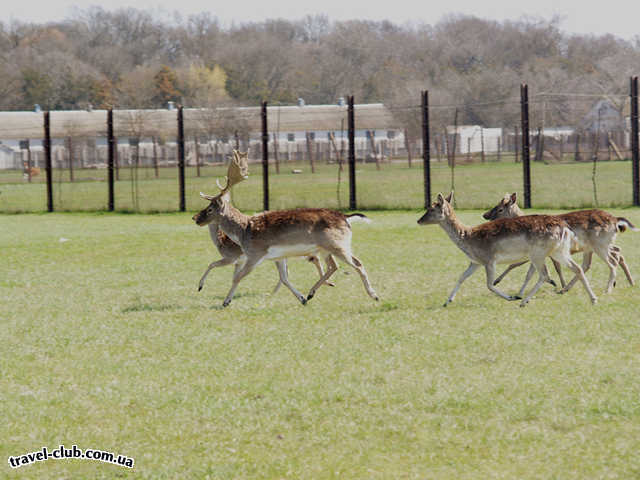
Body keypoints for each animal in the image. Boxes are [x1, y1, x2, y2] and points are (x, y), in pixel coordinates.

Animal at [192, 150, 378, 308]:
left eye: (210, 209)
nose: (195, 219)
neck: (243, 232)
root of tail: (346, 217)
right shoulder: (278, 257)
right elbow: (284, 277)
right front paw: (301, 298)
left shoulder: (255, 254)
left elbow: (237, 277)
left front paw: (225, 301)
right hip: (327, 248)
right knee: (334, 266)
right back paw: (310, 293)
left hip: (337, 244)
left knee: (357, 264)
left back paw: (374, 295)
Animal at [418, 192, 596, 308]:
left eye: (431, 209)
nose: (419, 220)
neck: (468, 238)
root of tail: (565, 228)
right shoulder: (475, 262)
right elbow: (461, 277)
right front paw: (447, 301)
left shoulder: (489, 259)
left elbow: (489, 284)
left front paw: (510, 297)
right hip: (558, 251)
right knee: (577, 268)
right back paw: (593, 299)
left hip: (538, 253)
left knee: (545, 274)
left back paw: (523, 301)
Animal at [484, 193, 636, 294]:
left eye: (500, 209)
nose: (485, 215)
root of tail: (615, 220)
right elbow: (531, 270)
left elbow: (518, 265)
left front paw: (497, 281)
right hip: (596, 245)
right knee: (611, 254)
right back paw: (628, 282)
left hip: (600, 244)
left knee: (611, 260)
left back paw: (609, 288)